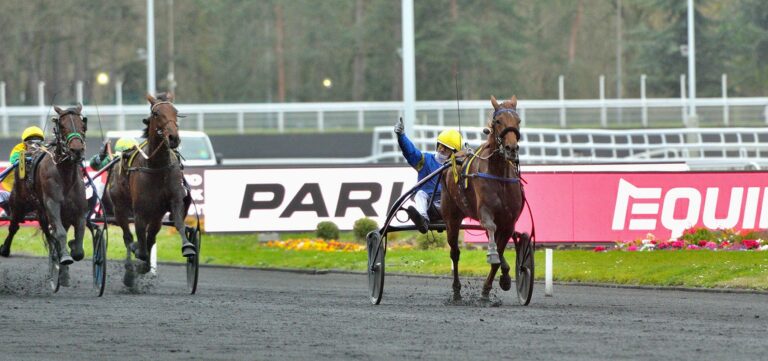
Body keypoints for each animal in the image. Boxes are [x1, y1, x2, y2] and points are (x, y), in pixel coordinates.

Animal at [0, 103, 89, 284]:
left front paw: (71, 248)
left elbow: (78, 247)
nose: (77, 150)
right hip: (20, 203)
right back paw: (5, 248)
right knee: (15, 226)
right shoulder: (52, 205)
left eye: (82, 125)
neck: (65, 175)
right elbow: (59, 233)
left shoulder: (79, 211)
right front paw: (63, 257)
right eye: (62, 126)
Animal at [440, 94, 524, 300]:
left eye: (518, 120)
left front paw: (491, 287)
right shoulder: (485, 211)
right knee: (455, 252)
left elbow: (499, 253)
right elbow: (491, 236)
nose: (511, 148)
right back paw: (456, 290)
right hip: (451, 218)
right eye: (498, 121)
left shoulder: (508, 222)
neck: (499, 176)